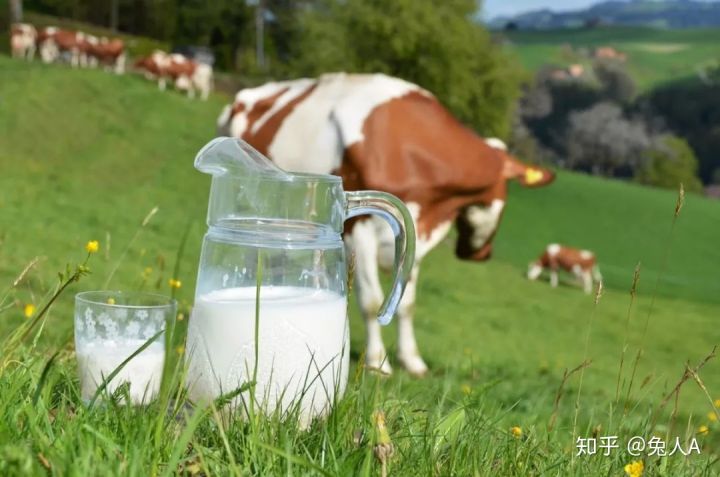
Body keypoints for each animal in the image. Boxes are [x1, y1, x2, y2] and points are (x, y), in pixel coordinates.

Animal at [217, 72, 556, 376]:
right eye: (506, 192)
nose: (482, 254)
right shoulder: (360, 230)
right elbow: (371, 302)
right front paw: (378, 363)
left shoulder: (417, 232)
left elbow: (406, 303)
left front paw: (413, 361)